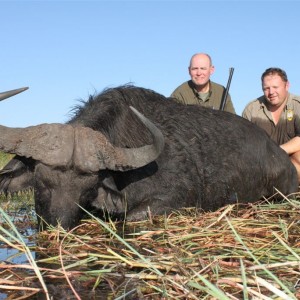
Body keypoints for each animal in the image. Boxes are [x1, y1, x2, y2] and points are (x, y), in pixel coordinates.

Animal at [0, 85, 298, 229]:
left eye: (88, 189)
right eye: (41, 183)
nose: (59, 227)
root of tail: (281, 158)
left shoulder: (172, 200)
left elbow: (131, 217)